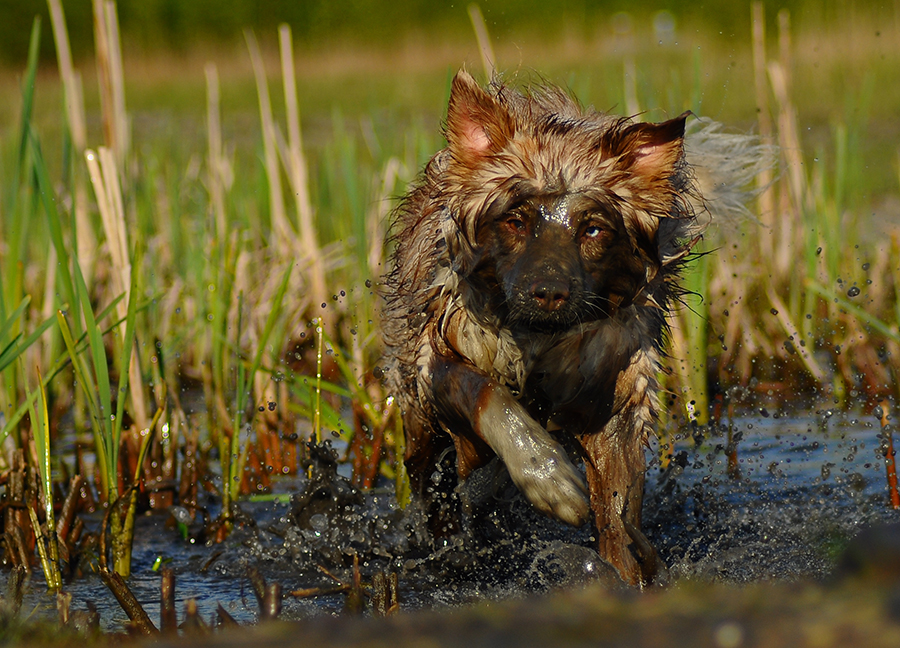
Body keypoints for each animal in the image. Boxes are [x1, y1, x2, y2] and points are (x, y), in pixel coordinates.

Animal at [384, 69, 764, 588]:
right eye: (515, 221)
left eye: (593, 229)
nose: (548, 292)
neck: (538, 341)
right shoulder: (441, 359)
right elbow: (488, 395)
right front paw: (550, 480)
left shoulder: (611, 398)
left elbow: (618, 513)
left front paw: (627, 575)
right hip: (421, 424)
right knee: (432, 487)